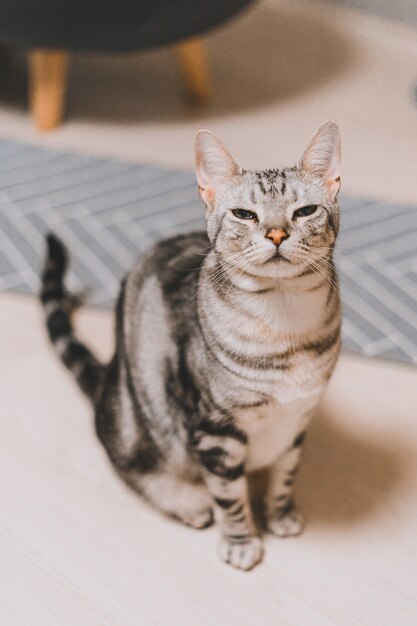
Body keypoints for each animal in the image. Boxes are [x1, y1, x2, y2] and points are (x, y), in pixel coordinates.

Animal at [40, 119, 342, 568]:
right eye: (244, 214)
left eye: (305, 211)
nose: (276, 233)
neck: (284, 323)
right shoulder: (215, 430)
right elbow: (230, 495)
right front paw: (240, 539)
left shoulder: (299, 417)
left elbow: (286, 473)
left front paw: (279, 513)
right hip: (132, 427)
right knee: (133, 467)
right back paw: (189, 502)